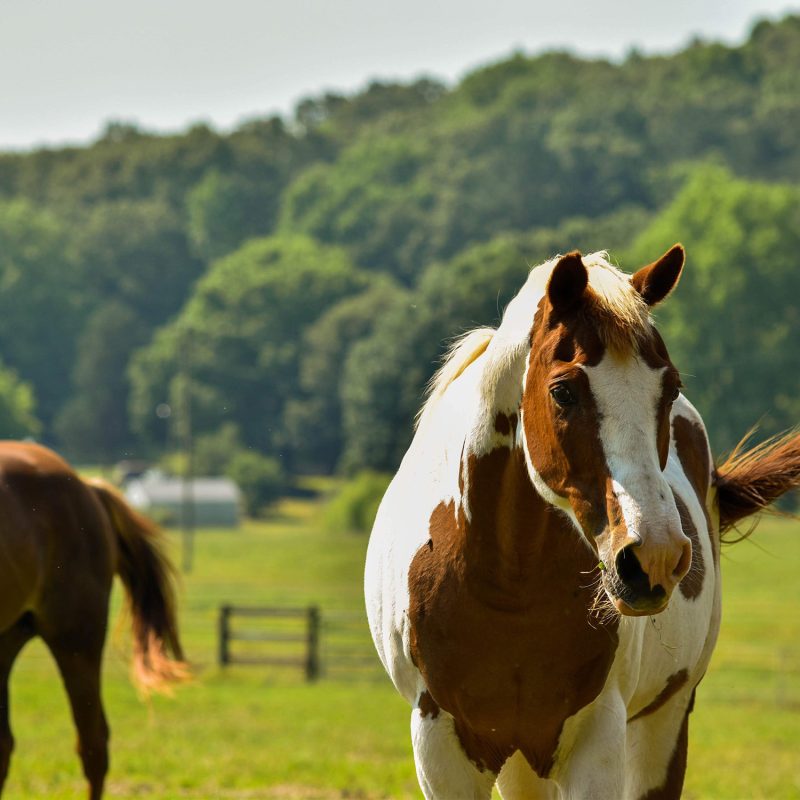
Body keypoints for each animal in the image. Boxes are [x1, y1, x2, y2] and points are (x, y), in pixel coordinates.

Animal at [366, 245, 800, 800]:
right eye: (564, 391)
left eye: (669, 388)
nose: (654, 556)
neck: (507, 588)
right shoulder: (440, 742)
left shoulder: (598, 736)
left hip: (662, 724)